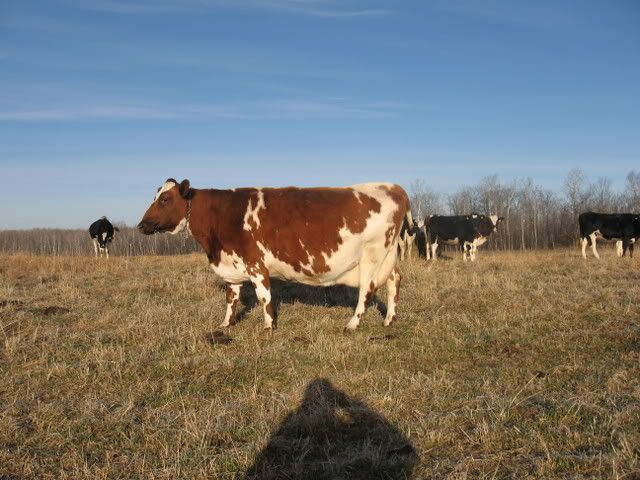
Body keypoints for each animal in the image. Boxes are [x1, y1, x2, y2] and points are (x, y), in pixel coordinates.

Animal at [138, 179, 412, 331]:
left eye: (165, 199)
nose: (141, 225)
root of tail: (393, 187)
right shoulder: (231, 266)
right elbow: (230, 298)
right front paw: (226, 325)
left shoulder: (256, 264)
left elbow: (264, 297)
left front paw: (269, 327)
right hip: (388, 257)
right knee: (394, 281)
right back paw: (389, 320)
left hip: (373, 255)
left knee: (367, 289)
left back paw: (353, 324)